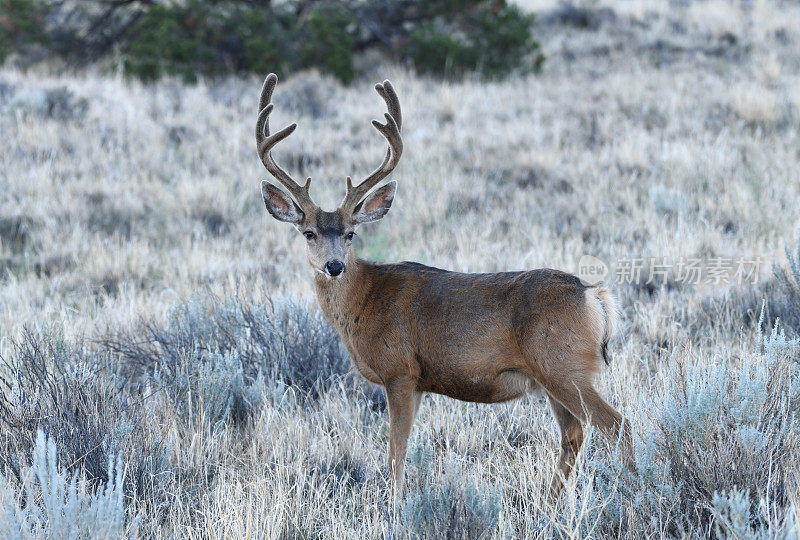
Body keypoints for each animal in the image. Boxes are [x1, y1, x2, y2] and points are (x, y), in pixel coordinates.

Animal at [256, 71, 632, 498]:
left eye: (351, 233)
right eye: (308, 233)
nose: (333, 266)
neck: (364, 301)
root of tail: (594, 295)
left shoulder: (400, 370)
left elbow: (395, 452)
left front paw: (396, 504)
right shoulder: (420, 382)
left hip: (564, 365)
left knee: (618, 426)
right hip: (552, 377)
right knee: (573, 435)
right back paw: (546, 505)